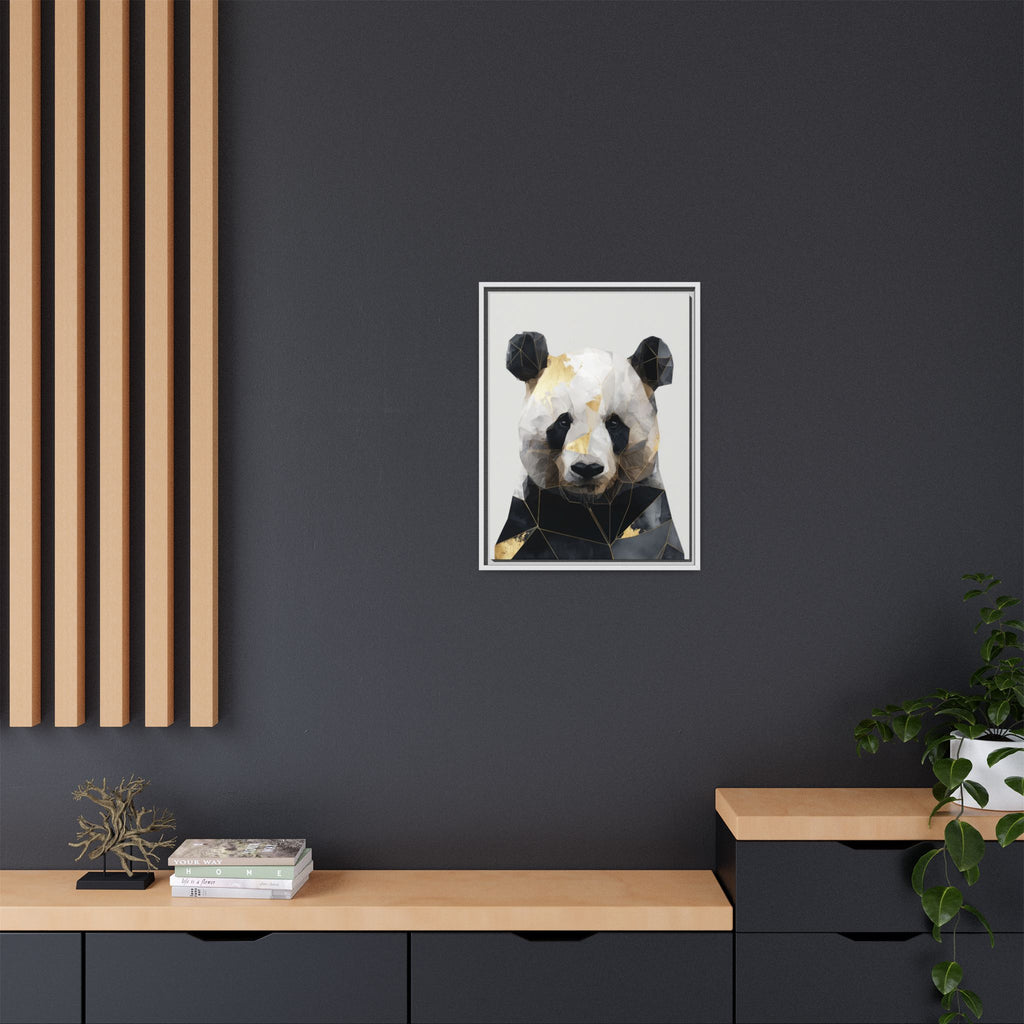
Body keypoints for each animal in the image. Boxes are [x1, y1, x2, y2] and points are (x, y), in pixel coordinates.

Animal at [493, 331, 684, 561]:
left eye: (614, 423)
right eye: (563, 422)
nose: (587, 468)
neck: (590, 505)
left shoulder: (646, 513)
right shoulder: (529, 521)